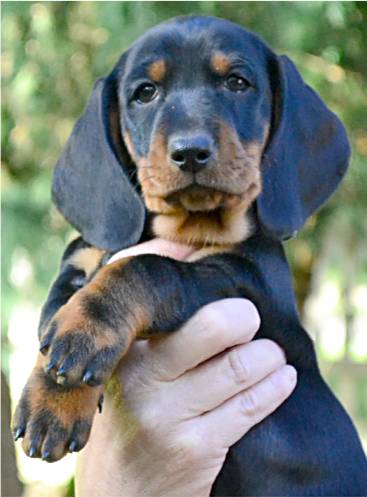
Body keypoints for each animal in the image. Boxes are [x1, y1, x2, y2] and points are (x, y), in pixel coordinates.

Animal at [12, 15, 366, 496]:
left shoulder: (243, 282)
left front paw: (86, 334)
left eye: (238, 83)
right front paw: (53, 395)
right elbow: (54, 314)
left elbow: (145, 268)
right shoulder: (82, 260)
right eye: (145, 92)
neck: (187, 226)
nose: (191, 152)